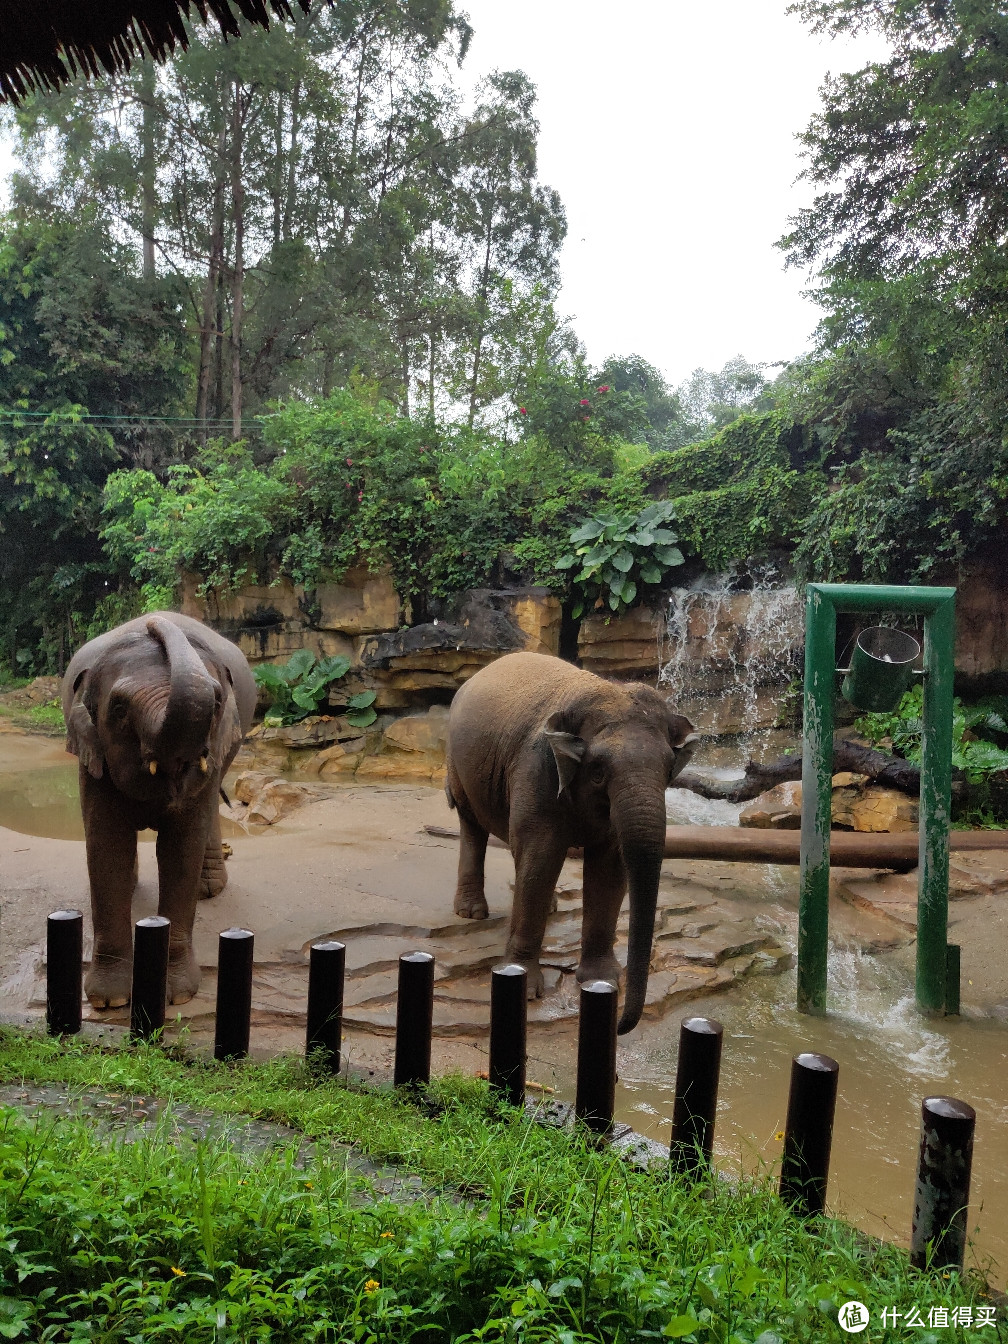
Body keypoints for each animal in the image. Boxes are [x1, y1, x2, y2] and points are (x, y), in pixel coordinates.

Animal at [62, 610, 256, 1010]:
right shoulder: (93, 754)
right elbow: (107, 845)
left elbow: (181, 848)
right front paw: (109, 1002)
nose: (154, 621)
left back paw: (209, 888)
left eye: (216, 703)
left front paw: (179, 996)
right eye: (119, 708)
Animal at [448, 655, 704, 1032]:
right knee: (472, 825)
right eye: (597, 771)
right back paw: (471, 912)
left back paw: (551, 907)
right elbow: (541, 857)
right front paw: (525, 986)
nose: (618, 1026)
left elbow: (609, 868)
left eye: (669, 769)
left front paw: (602, 982)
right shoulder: (536, 767)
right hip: (458, 767)